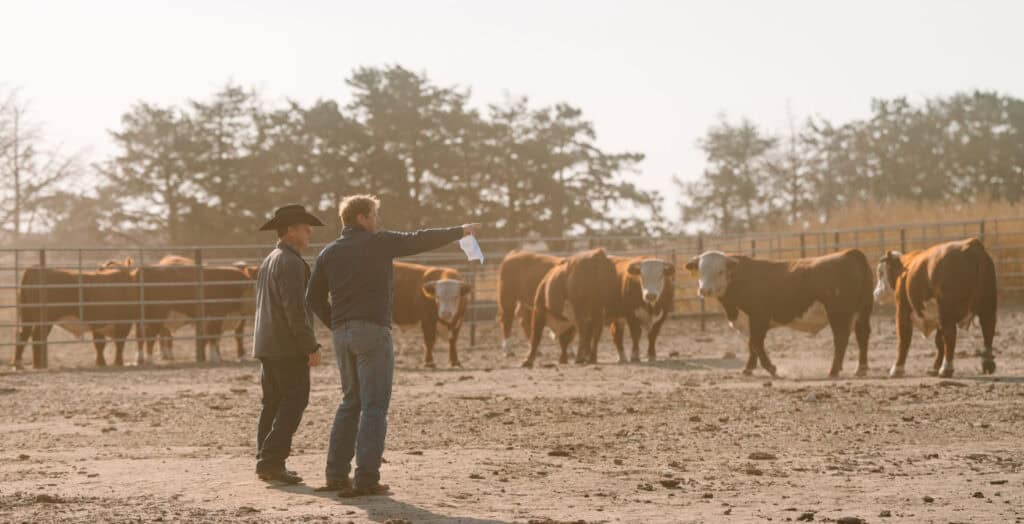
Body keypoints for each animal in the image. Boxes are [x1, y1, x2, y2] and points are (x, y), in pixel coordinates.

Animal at [684, 248, 876, 376]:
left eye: (720, 271)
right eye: (700, 271)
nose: (704, 290)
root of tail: (850, 253)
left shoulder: (759, 317)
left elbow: (756, 343)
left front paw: (771, 368)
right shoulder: (749, 323)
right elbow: (751, 344)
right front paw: (748, 368)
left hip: (838, 313)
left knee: (841, 339)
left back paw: (833, 370)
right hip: (862, 311)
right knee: (862, 335)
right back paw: (861, 368)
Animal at [872, 237, 999, 376]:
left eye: (880, 273)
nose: (876, 293)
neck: (905, 269)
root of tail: (971, 244)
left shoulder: (902, 310)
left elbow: (903, 340)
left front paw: (897, 368)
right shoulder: (938, 316)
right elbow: (939, 341)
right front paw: (935, 367)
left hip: (947, 311)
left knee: (950, 334)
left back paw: (947, 368)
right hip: (988, 305)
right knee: (988, 330)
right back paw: (987, 363)